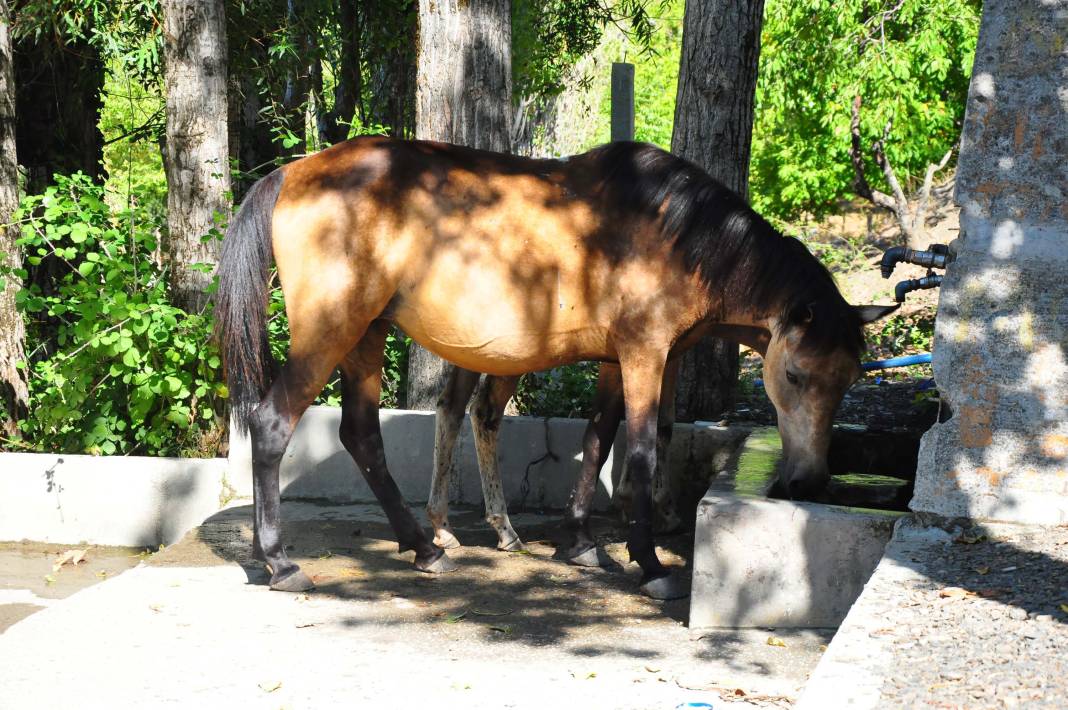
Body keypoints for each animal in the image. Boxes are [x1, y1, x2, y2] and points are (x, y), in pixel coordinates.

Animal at [210, 136, 892, 597]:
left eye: (849, 380)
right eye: (795, 376)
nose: (807, 482)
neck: (680, 236)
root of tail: (294, 172)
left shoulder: (624, 361)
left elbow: (598, 442)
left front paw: (582, 541)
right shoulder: (645, 355)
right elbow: (640, 453)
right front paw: (649, 564)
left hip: (366, 337)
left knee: (362, 435)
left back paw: (425, 546)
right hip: (333, 332)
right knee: (273, 425)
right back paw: (280, 561)